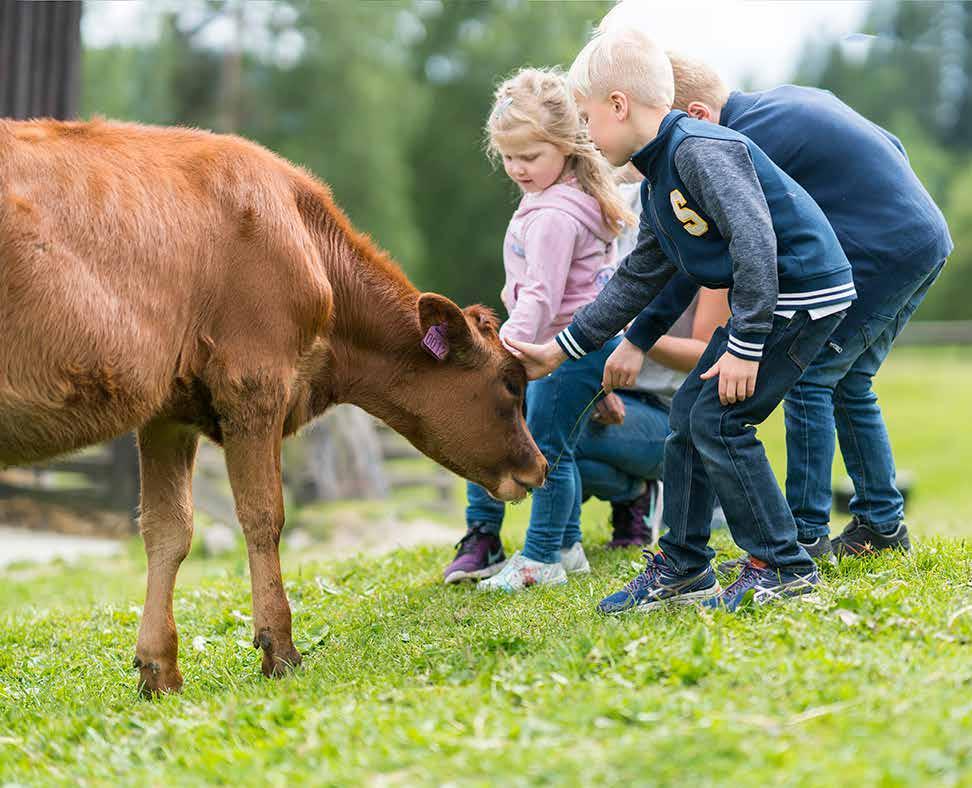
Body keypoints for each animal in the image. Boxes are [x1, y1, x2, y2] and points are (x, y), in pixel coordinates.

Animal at [0, 120, 548, 692]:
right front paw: (279, 648)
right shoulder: (254, 384)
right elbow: (264, 516)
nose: (540, 466)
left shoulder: (168, 413)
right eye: (512, 382)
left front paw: (159, 670)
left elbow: (168, 529)